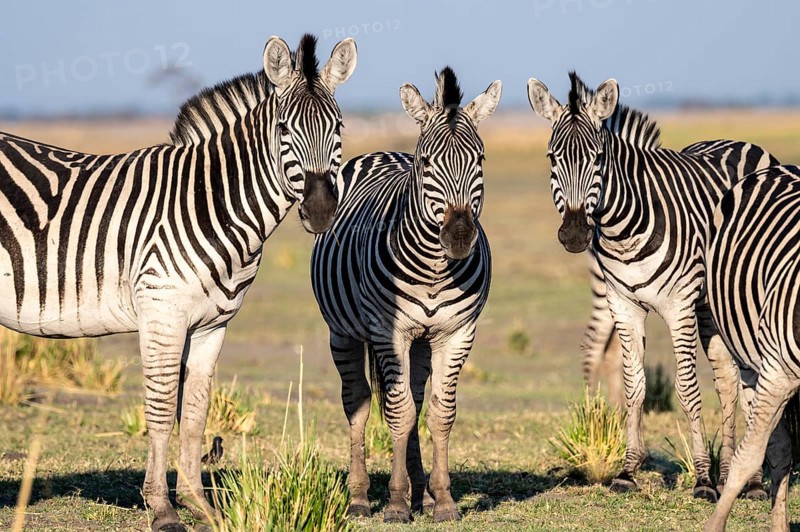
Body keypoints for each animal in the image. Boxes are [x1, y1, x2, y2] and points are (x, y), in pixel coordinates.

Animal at [0, 34, 356, 532]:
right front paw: (162, 508)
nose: (322, 211)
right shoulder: (162, 316)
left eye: (339, 126)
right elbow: (161, 410)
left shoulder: (211, 326)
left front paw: (199, 504)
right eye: (284, 128)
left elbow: (194, 414)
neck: (215, 204)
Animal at [311, 67, 500, 523]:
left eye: (481, 159)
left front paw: (442, 500)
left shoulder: (457, 333)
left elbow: (438, 413)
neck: (434, 269)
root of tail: (383, 152)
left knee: (414, 398)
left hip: (421, 342)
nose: (459, 236)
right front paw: (396, 503)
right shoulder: (388, 333)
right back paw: (361, 498)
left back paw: (423, 496)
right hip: (343, 332)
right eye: (427, 161)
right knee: (359, 402)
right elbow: (397, 413)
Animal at [527, 72, 778, 500]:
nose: (575, 235)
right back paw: (732, 472)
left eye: (597, 158)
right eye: (552, 157)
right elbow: (635, 385)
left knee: (751, 376)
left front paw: (703, 480)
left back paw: (755, 482)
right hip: (711, 307)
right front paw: (628, 471)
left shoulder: (679, 306)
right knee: (728, 379)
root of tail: (741, 142)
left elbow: (688, 389)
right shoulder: (622, 304)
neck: (623, 227)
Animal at [704, 165, 800, 532]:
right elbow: (749, 456)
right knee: (777, 449)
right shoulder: (778, 373)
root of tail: (779, 168)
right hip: (750, 359)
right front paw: (715, 526)